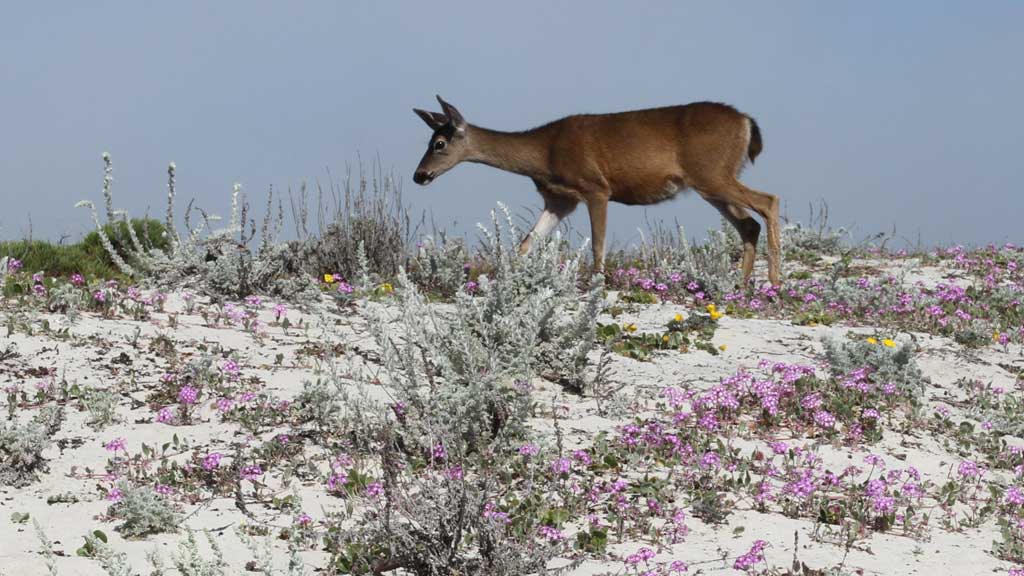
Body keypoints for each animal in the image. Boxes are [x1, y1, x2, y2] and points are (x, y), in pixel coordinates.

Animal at [411, 94, 778, 286]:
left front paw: (597, 284)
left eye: (439, 143)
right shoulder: (559, 199)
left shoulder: (596, 187)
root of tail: (746, 121)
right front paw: (505, 281)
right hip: (711, 182)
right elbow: (526, 244)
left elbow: (598, 244)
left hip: (712, 172)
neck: (543, 154)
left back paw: (775, 282)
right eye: (429, 140)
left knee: (769, 201)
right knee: (749, 223)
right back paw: (742, 286)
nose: (419, 175)